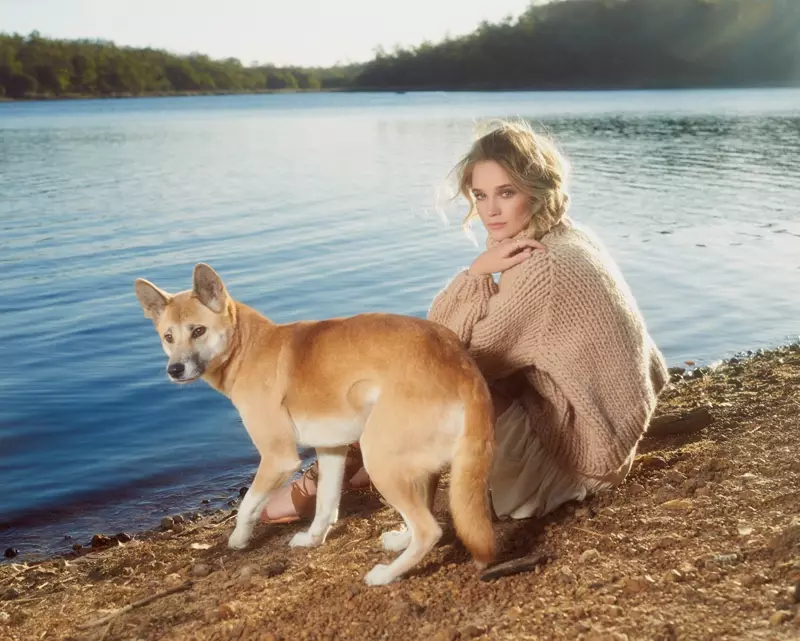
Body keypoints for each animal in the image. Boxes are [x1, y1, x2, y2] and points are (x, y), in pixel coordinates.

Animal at [135, 262, 496, 584]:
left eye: (198, 331)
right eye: (168, 336)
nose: (174, 369)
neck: (249, 348)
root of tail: (463, 367)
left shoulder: (278, 458)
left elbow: (247, 505)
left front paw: (238, 538)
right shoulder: (331, 451)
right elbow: (325, 504)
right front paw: (312, 539)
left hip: (379, 458)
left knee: (429, 530)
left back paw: (386, 575)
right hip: (408, 462)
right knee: (425, 517)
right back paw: (400, 542)